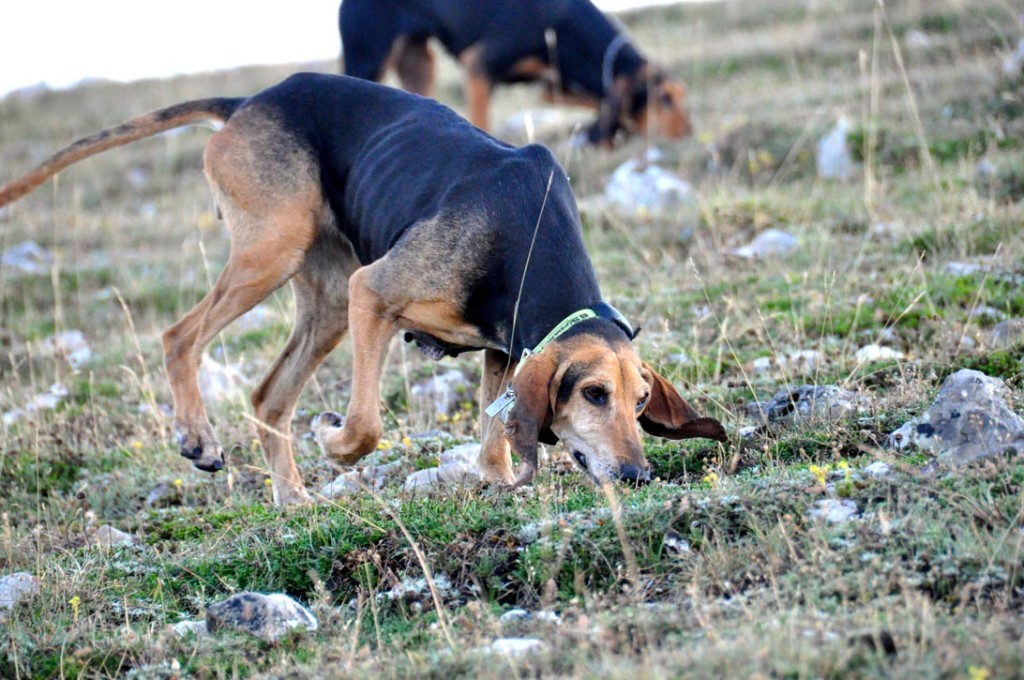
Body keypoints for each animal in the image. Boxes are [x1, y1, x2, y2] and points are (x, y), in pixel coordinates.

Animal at [0, 73, 720, 503]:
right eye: (594, 394)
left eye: (640, 401)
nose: (637, 474)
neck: (526, 235)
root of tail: (250, 101)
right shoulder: (372, 294)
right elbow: (368, 425)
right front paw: (334, 441)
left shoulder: (500, 348)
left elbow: (493, 436)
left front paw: (495, 481)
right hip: (277, 252)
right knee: (180, 337)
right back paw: (199, 438)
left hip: (321, 302)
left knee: (266, 398)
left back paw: (292, 502)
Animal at [339, 0, 692, 145]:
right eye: (664, 99)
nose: (689, 133)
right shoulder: (479, 65)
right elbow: (480, 121)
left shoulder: (554, 83)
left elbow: (602, 99)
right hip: (369, 60)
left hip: (419, 65)